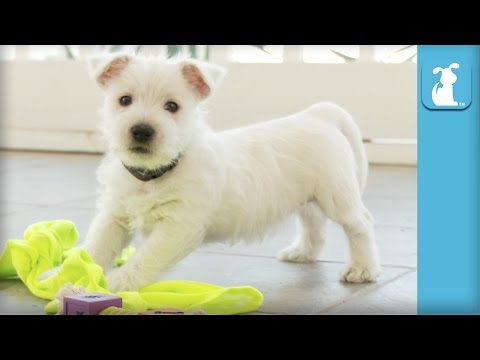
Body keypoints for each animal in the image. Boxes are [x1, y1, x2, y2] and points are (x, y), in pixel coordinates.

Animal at [84, 54, 380, 292]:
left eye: (172, 106)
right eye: (124, 100)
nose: (142, 130)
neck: (154, 173)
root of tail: (318, 115)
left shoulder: (177, 227)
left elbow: (144, 259)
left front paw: (115, 283)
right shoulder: (114, 217)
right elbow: (96, 247)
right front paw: (76, 275)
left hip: (336, 196)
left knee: (360, 224)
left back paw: (361, 268)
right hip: (308, 197)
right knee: (314, 223)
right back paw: (302, 252)